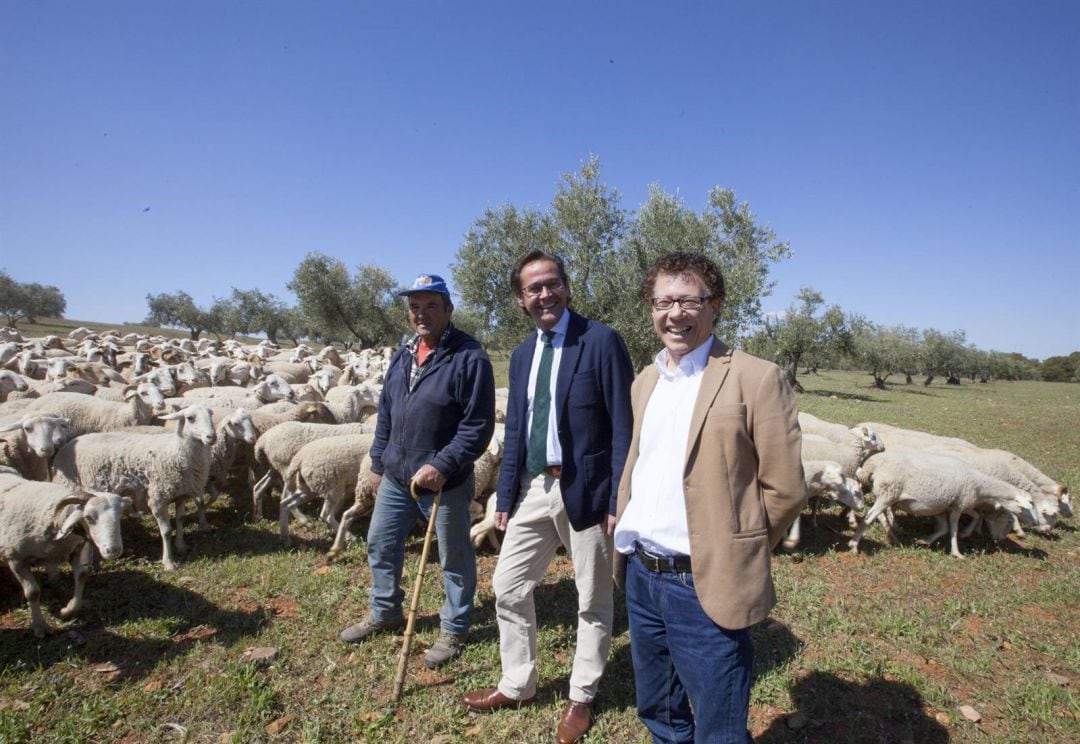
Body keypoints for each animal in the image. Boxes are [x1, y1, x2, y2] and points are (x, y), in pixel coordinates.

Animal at [0, 472, 130, 634]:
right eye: (88, 517)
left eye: (120, 516)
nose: (113, 550)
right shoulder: (16, 559)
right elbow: (33, 592)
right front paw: (39, 626)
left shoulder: (76, 549)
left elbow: (82, 576)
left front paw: (67, 611)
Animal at [51, 406, 217, 570]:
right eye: (190, 418)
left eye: (211, 414)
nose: (212, 437)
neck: (176, 450)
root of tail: (68, 445)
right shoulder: (158, 499)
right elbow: (167, 531)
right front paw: (169, 562)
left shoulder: (180, 494)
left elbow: (180, 520)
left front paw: (181, 546)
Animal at [846, 447, 1032, 557]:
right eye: (1009, 522)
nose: (998, 540)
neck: (979, 485)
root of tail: (873, 465)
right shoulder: (958, 506)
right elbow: (953, 529)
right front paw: (957, 552)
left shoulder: (945, 506)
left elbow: (947, 527)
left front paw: (925, 541)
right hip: (888, 493)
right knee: (870, 517)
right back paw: (855, 543)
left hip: (879, 492)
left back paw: (891, 535)